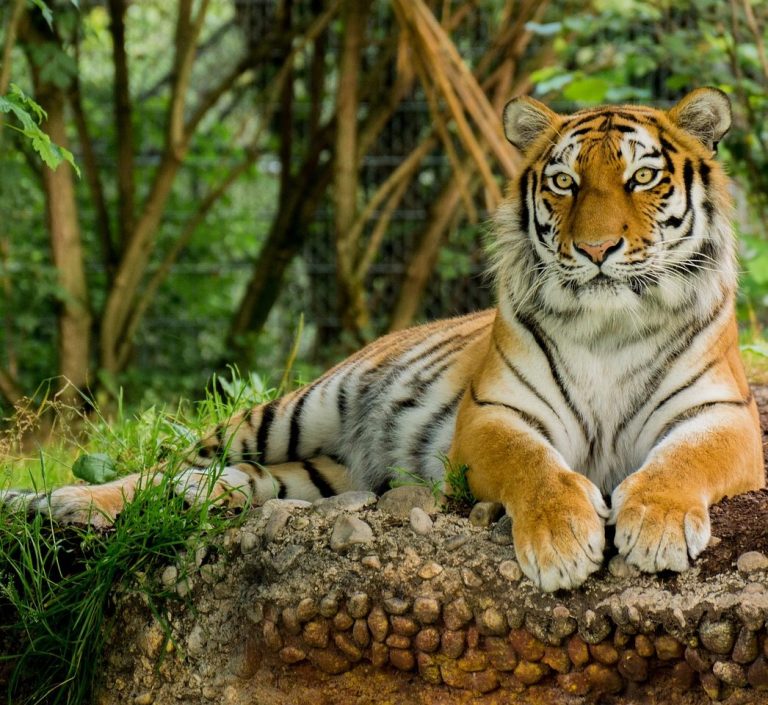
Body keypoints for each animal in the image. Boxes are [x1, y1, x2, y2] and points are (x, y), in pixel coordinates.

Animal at [3, 88, 764, 592]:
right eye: (563, 182)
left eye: (643, 177)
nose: (597, 249)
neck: (609, 324)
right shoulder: (494, 417)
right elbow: (536, 468)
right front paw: (562, 540)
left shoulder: (722, 417)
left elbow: (680, 463)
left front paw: (657, 524)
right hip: (288, 411)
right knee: (167, 464)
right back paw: (68, 502)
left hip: (309, 475)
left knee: (208, 483)